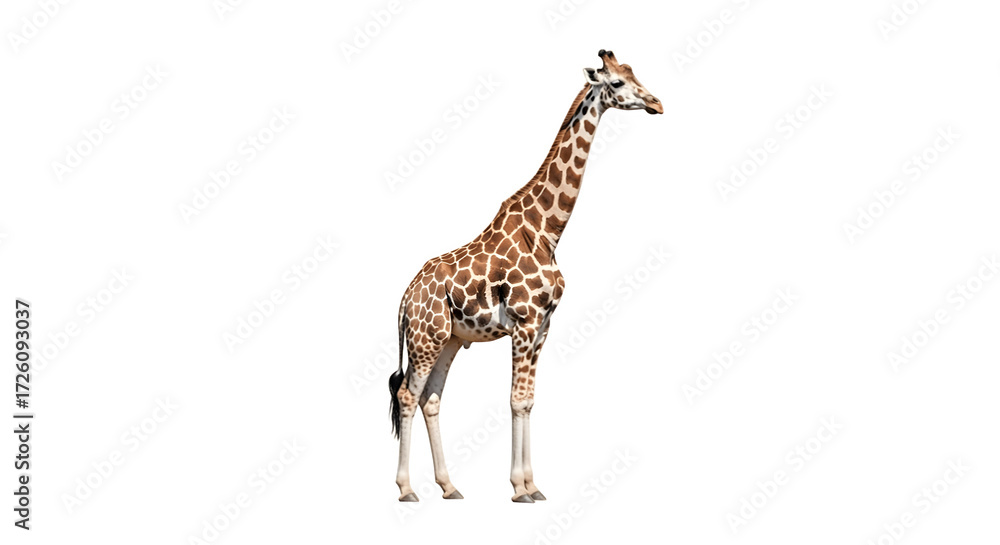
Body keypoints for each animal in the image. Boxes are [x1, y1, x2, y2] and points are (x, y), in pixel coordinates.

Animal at [389, 50, 662, 503]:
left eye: (634, 73)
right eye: (617, 83)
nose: (657, 103)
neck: (547, 230)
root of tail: (404, 301)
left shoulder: (544, 325)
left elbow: (529, 399)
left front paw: (533, 485)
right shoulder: (524, 322)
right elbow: (516, 399)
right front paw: (519, 488)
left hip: (448, 341)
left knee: (431, 398)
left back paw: (449, 486)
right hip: (425, 338)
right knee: (408, 394)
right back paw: (407, 489)